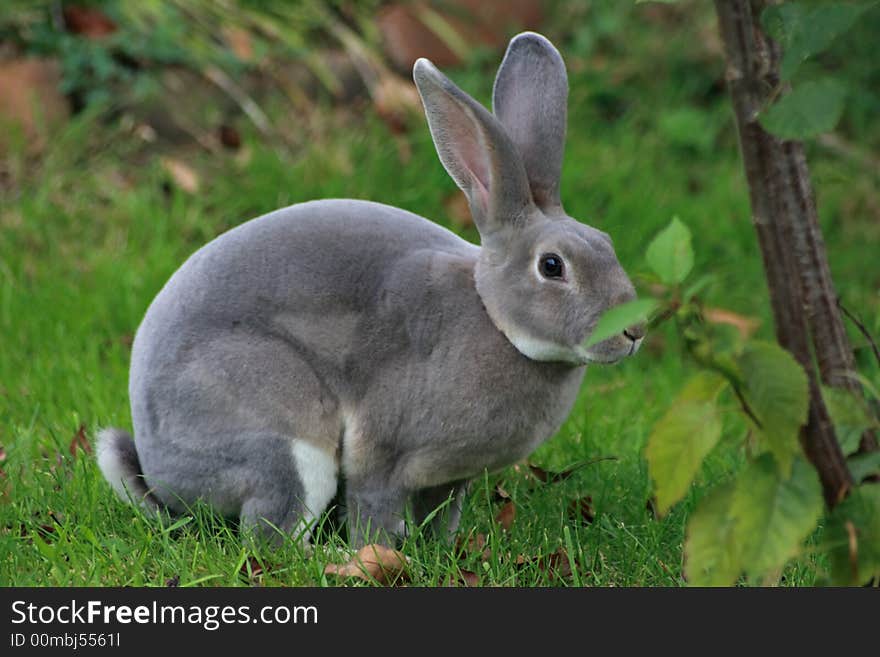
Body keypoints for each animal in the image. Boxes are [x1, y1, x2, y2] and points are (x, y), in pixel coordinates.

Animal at [98, 34, 648, 548]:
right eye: (552, 266)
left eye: (606, 242)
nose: (635, 331)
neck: (493, 319)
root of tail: (160, 478)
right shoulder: (384, 453)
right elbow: (372, 507)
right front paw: (382, 554)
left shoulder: (450, 479)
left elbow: (440, 514)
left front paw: (442, 550)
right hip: (281, 438)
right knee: (271, 532)